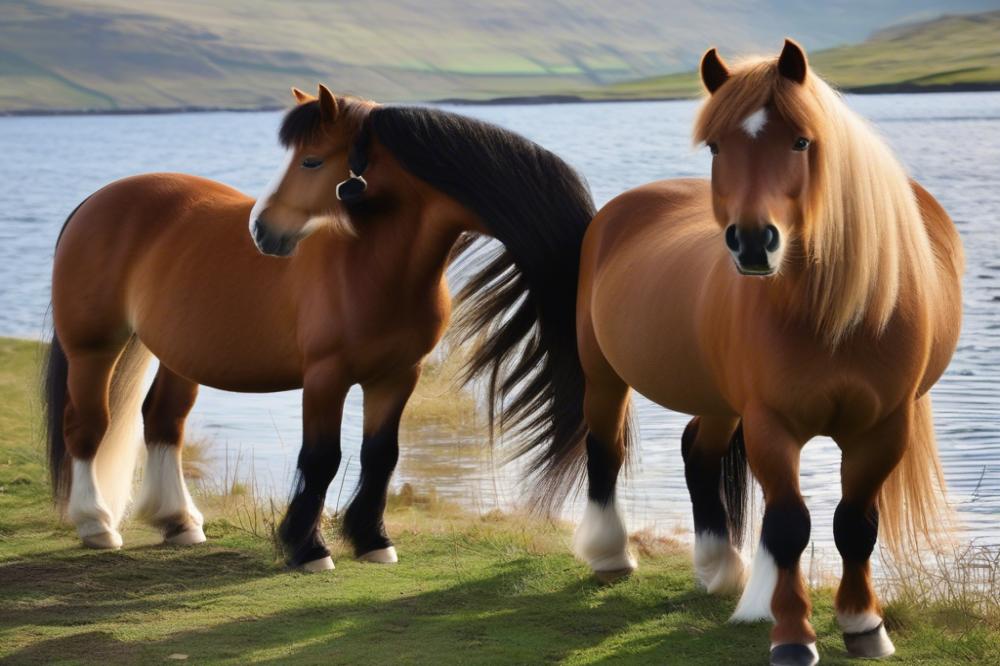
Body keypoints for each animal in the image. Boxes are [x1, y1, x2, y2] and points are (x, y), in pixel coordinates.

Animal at [45, 83, 592, 572]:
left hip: (177, 354)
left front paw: (372, 540)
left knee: (163, 422)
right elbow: (322, 458)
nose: (263, 232)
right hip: (93, 348)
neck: (369, 264)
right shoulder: (325, 377)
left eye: (310, 161)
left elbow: (381, 455)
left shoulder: (397, 376)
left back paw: (179, 522)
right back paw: (96, 524)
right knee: (87, 424)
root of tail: (97, 200)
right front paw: (307, 547)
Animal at [548, 42, 960, 664]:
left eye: (801, 142)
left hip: (719, 399)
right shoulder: (771, 423)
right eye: (717, 145)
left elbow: (856, 524)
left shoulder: (883, 427)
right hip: (605, 375)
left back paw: (719, 567)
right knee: (605, 448)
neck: (835, 314)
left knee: (698, 452)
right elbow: (790, 525)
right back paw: (610, 554)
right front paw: (793, 638)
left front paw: (864, 624)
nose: (751, 242)